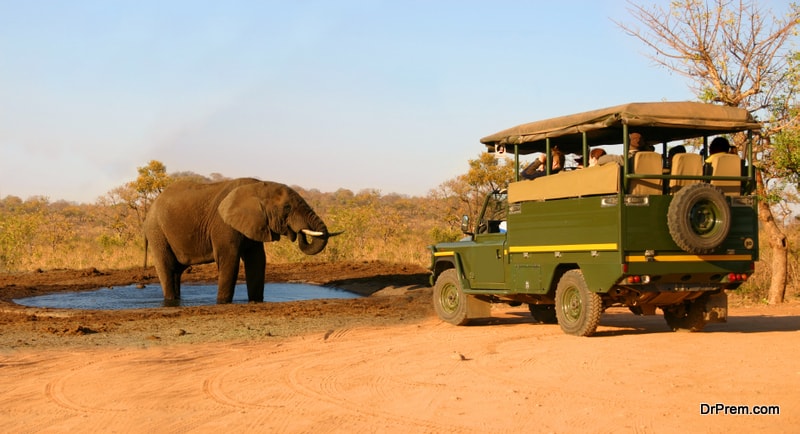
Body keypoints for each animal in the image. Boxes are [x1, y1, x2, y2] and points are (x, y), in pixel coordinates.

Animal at [144, 178, 338, 304]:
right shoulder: (223, 225)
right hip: (156, 231)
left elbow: (257, 261)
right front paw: (223, 303)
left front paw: (256, 301)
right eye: (287, 207)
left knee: (176, 271)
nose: (298, 232)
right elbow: (230, 260)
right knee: (167, 268)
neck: (257, 187)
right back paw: (170, 301)